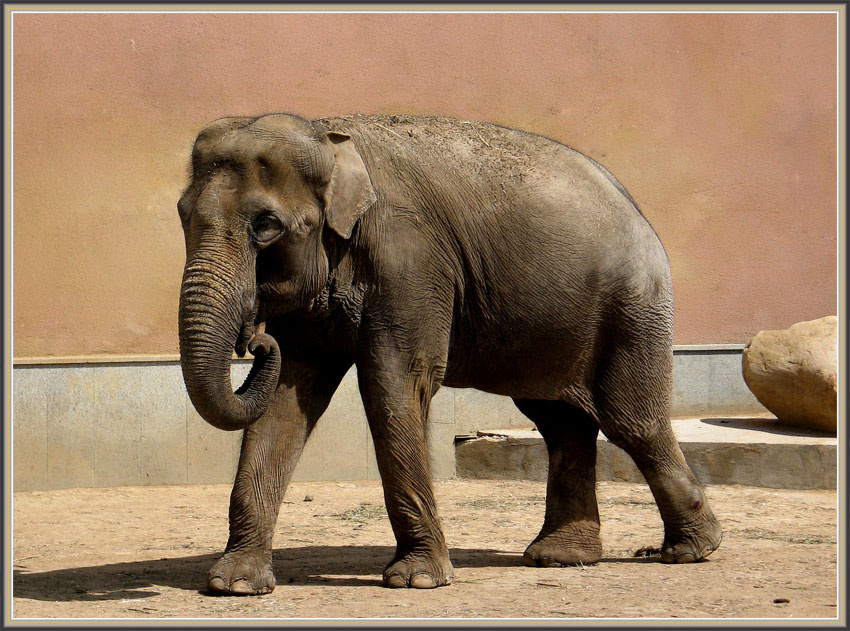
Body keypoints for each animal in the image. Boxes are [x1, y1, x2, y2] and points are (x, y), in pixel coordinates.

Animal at [176, 113, 722, 594]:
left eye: (266, 225)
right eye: (182, 215)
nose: (254, 340)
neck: (328, 138)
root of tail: (637, 209)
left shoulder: (410, 262)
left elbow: (394, 382)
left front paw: (417, 580)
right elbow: (286, 401)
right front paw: (234, 585)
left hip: (631, 307)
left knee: (632, 422)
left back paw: (692, 550)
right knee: (561, 422)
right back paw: (560, 557)